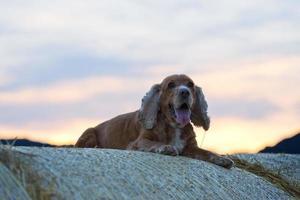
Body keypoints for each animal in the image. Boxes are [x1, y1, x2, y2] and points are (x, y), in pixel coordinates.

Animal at [75, 74, 234, 168]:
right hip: (89, 132)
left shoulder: (190, 147)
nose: (185, 92)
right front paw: (166, 147)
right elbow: (155, 143)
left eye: (190, 84)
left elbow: (206, 152)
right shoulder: (138, 142)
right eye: (171, 85)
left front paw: (221, 159)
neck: (174, 126)